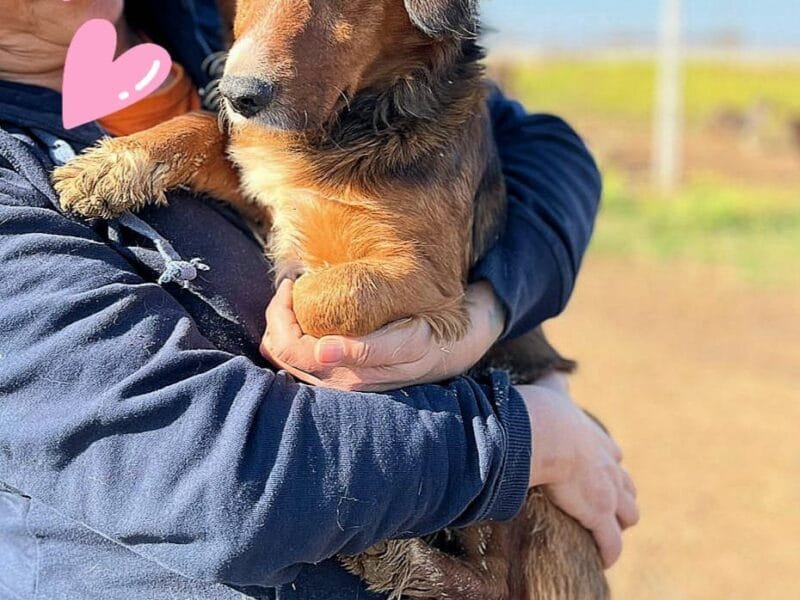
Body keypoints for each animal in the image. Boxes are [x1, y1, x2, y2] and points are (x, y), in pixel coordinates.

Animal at [53, 1, 608, 596]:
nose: (241, 95)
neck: (342, 125)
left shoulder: (431, 281)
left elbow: (314, 294)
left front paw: (291, 358)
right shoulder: (258, 187)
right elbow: (206, 129)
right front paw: (112, 167)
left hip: (541, 505)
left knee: (493, 578)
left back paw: (398, 557)